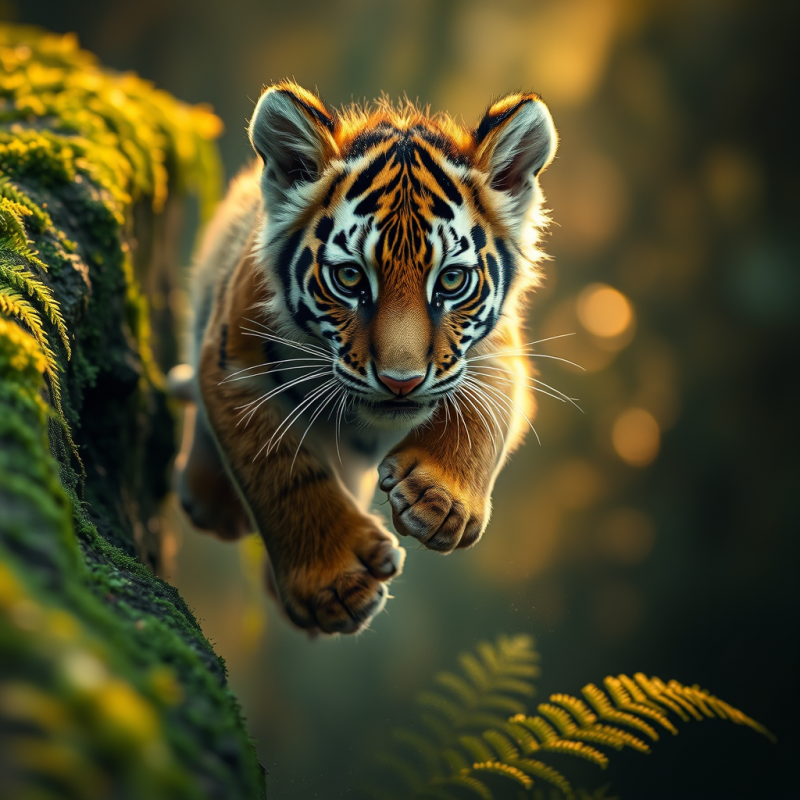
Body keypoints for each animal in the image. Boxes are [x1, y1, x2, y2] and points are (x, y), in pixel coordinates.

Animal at [170, 80, 558, 635]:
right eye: (350, 277)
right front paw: (338, 584)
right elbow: (279, 467)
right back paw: (213, 501)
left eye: (451, 281)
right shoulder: (233, 362)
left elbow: (484, 414)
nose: (401, 382)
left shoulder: (500, 349)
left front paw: (438, 500)